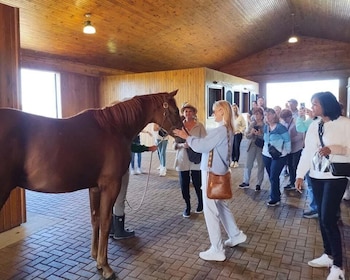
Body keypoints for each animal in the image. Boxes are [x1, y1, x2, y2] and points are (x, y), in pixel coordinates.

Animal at [0, 91, 185, 278]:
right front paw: (105, 266)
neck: (113, 128)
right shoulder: (110, 186)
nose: (181, 138)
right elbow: (105, 222)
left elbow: (95, 219)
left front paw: (96, 257)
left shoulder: (94, 188)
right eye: (175, 110)